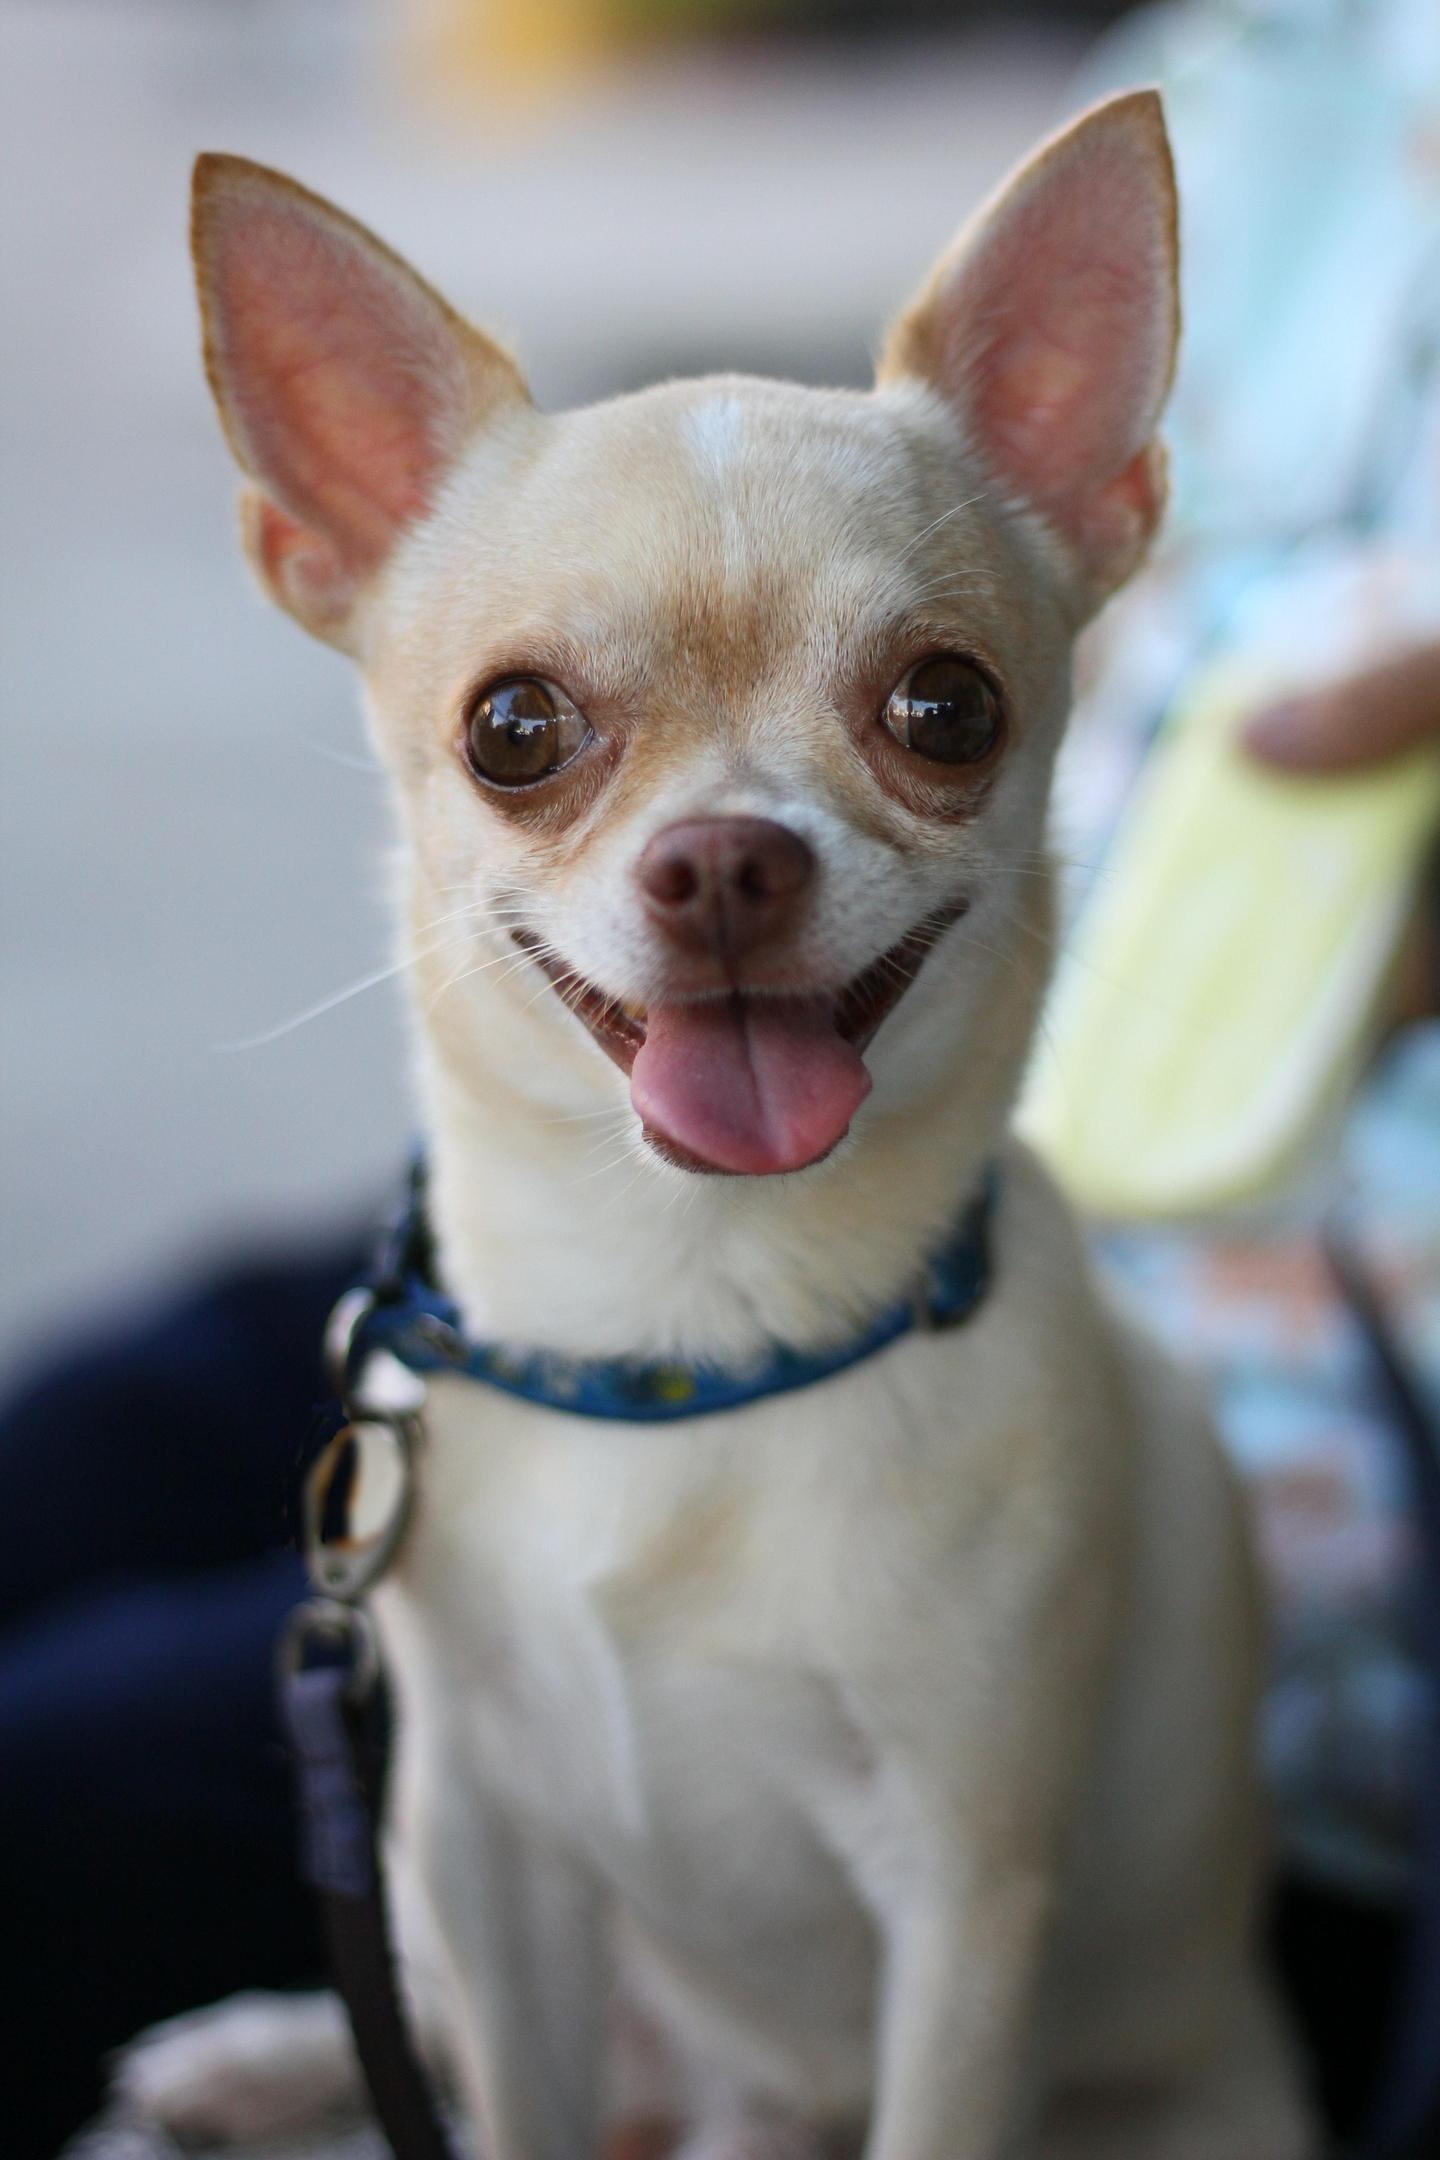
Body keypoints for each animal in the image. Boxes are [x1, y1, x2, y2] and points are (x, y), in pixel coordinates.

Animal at [124, 92, 1321, 2160]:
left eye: (946, 708)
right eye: (513, 729)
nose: (726, 859)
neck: (685, 1335)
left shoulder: (967, 1905)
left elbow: (933, 2100)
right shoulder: (480, 1848)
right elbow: (504, 2095)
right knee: (434, 2026)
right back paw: (263, 2050)